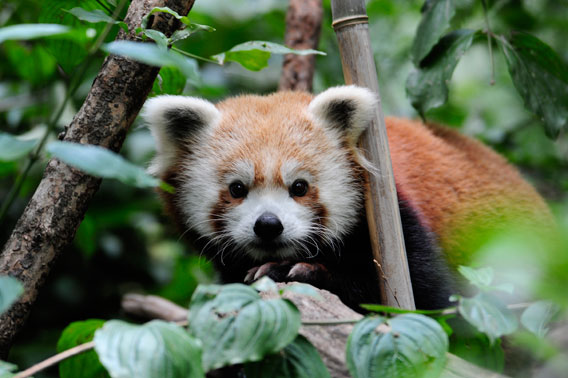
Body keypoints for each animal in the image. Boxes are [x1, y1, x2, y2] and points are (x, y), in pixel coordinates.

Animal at [143, 85, 556, 310]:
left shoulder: (400, 222)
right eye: (237, 189)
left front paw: (296, 271)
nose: (268, 226)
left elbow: (432, 301)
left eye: (299, 187)